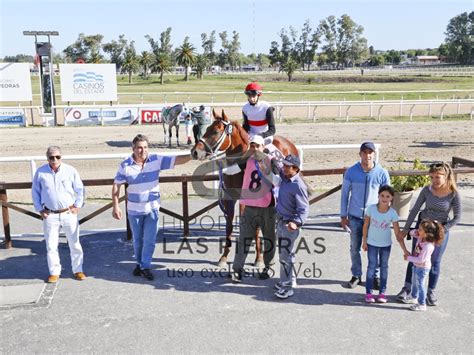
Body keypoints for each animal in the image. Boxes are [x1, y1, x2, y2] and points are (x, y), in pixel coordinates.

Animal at [191, 108, 298, 268]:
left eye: (215, 131)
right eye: (207, 128)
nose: (195, 152)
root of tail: (288, 143)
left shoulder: (249, 199)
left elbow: (253, 226)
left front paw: (259, 258)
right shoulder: (229, 198)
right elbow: (229, 225)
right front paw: (224, 257)